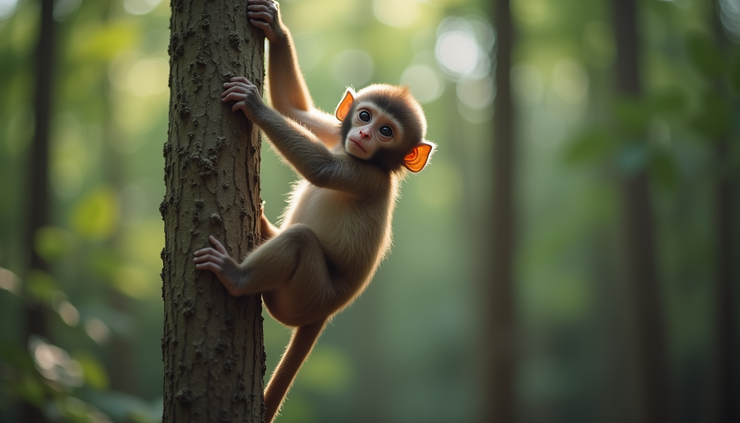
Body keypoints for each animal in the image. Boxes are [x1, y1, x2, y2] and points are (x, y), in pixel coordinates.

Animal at [192, 1, 435, 422]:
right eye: (365, 117)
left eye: (387, 132)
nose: (364, 135)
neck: (366, 158)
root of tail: (325, 314)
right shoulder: (337, 133)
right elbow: (294, 108)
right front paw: (275, 28)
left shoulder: (368, 177)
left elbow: (321, 171)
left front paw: (254, 104)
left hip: (306, 294)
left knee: (300, 241)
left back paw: (236, 276)